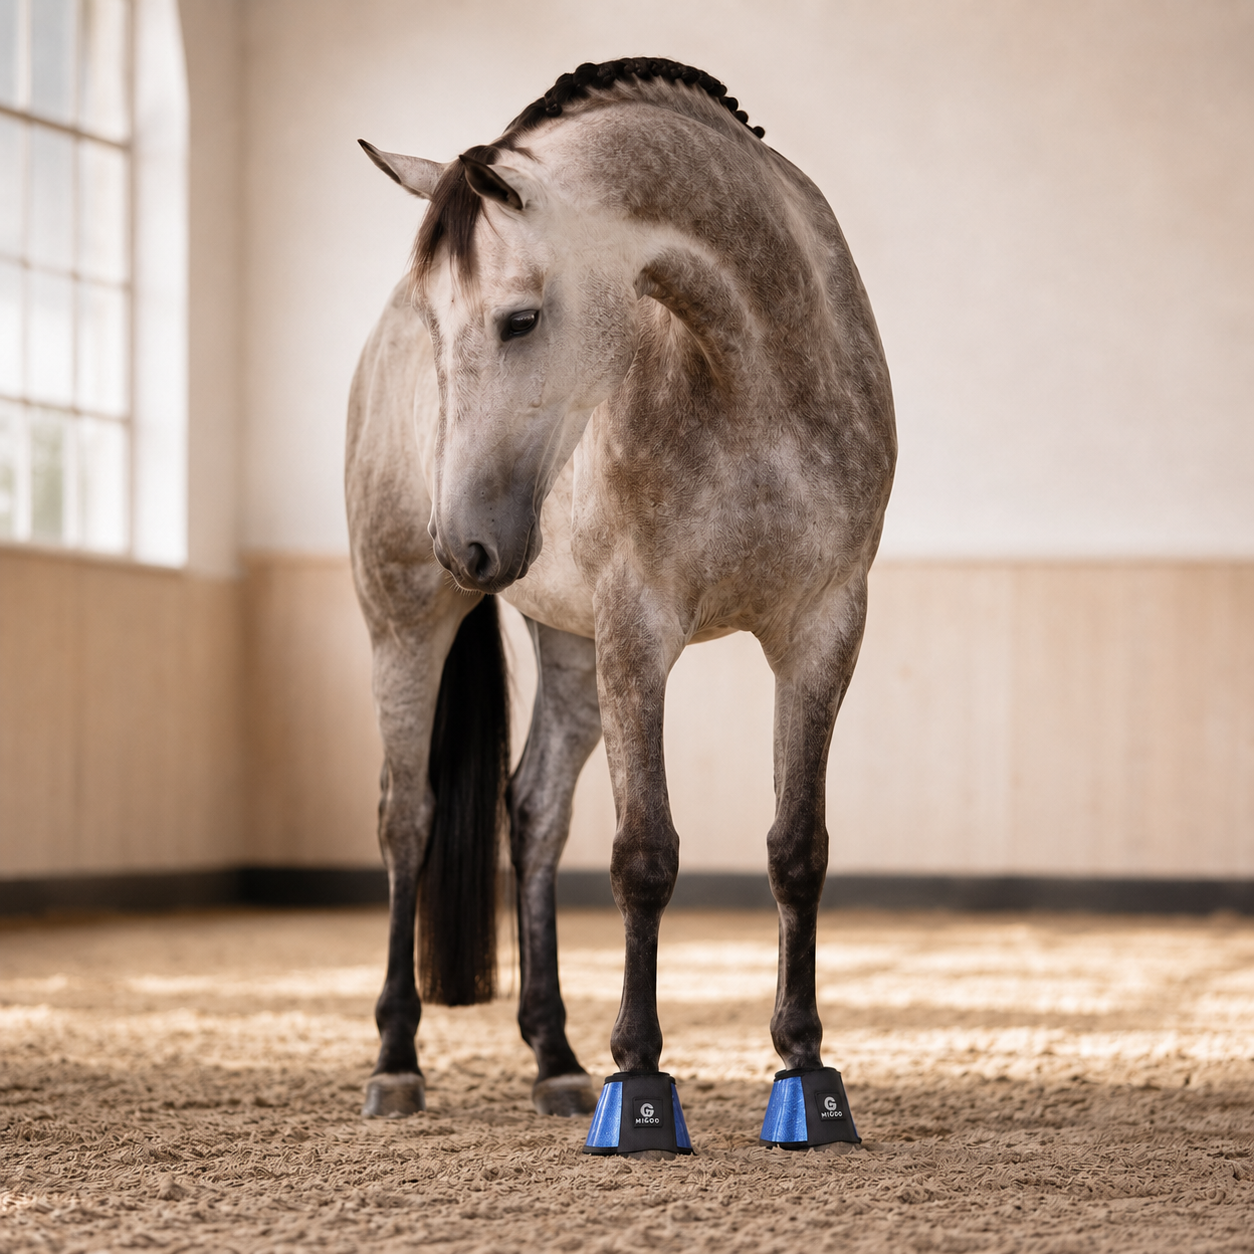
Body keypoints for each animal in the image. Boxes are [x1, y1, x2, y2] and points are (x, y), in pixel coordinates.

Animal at [347, 57, 895, 1147]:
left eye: (520, 318)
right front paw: (638, 1080)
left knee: (535, 815)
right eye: (437, 325)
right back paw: (397, 1060)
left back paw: (554, 1056)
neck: (756, 374)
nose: (464, 541)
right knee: (407, 818)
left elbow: (797, 848)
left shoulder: (823, 629)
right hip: (406, 624)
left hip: (568, 647)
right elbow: (644, 854)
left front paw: (805, 1067)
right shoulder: (641, 632)